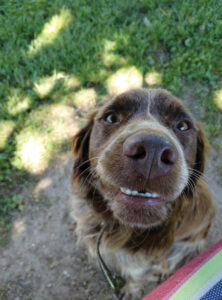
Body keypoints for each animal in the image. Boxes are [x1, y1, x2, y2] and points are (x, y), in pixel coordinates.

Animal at [71, 88, 215, 298]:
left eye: (182, 126)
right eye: (111, 117)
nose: (153, 150)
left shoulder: (145, 265)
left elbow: (137, 278)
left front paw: (129, 291)